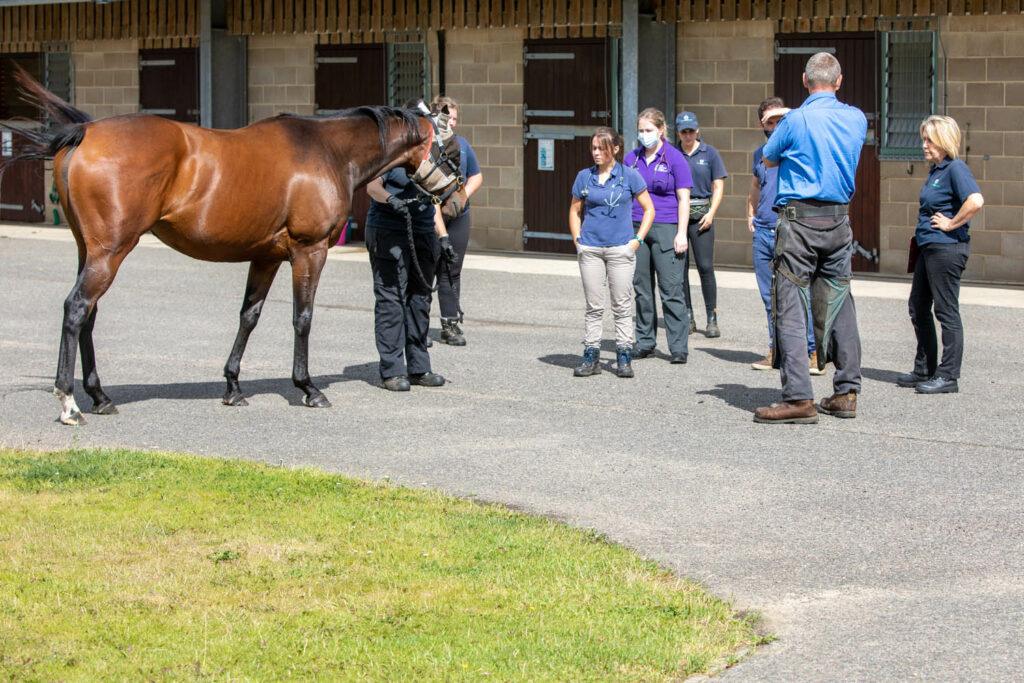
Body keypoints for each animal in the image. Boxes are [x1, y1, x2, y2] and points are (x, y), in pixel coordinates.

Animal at [2, 68, 466, 421]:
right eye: (451, 151)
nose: (457, 197)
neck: (327, 151)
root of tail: (85, 132)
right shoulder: (308, 251)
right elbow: (302, 318)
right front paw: (308, 388)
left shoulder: (265, 257)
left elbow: (249, 316)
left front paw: (233, 385)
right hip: (110, 252)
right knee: (76, 308)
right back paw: (69, 402)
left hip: (90, 250)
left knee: (88, 315)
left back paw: (99, 396)